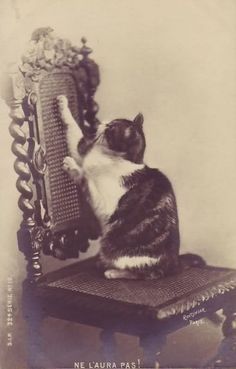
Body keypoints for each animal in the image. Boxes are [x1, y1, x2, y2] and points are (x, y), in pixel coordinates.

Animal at [56, 95, 202, 278]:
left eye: (111, 128)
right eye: (110, 122)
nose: (101, 123)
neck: (111, 158)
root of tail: (175, 263)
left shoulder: (104, 204)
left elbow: (84, 177)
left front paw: (72, 166)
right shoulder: (82, 150)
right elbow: (74, 131)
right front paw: (62, 103)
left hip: (114, 248)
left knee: (146, 274)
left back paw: (112, 272)